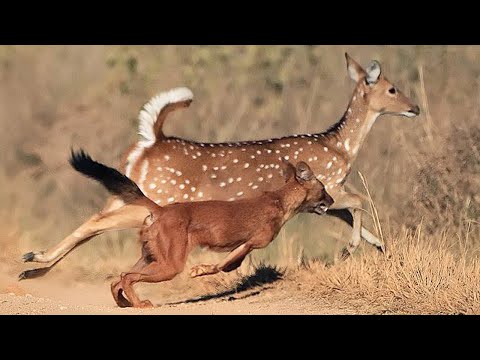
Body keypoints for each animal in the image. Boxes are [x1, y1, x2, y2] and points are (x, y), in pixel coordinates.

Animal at [20, 52, 420, 280]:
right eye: (392, 89)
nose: (415, 108)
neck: (340, 146)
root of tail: (151, 141)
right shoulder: (331, 186)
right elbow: (361, 203)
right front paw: (351, 250)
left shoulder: (322, 200)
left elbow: (358, 219)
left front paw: (382, 251)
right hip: (159, 197)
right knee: (97, 222)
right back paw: (35, 262)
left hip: (129, 191)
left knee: (93, 218)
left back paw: (34, 263)